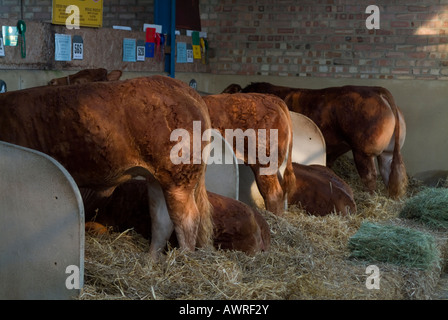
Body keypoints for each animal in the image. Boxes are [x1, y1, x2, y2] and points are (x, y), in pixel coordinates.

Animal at [0, 75, 214, 260]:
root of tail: (178, 86)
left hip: (178, 178)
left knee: (187, 219)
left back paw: (183, 260)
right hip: (158, 178)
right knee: (162, 219)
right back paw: (150, 261)